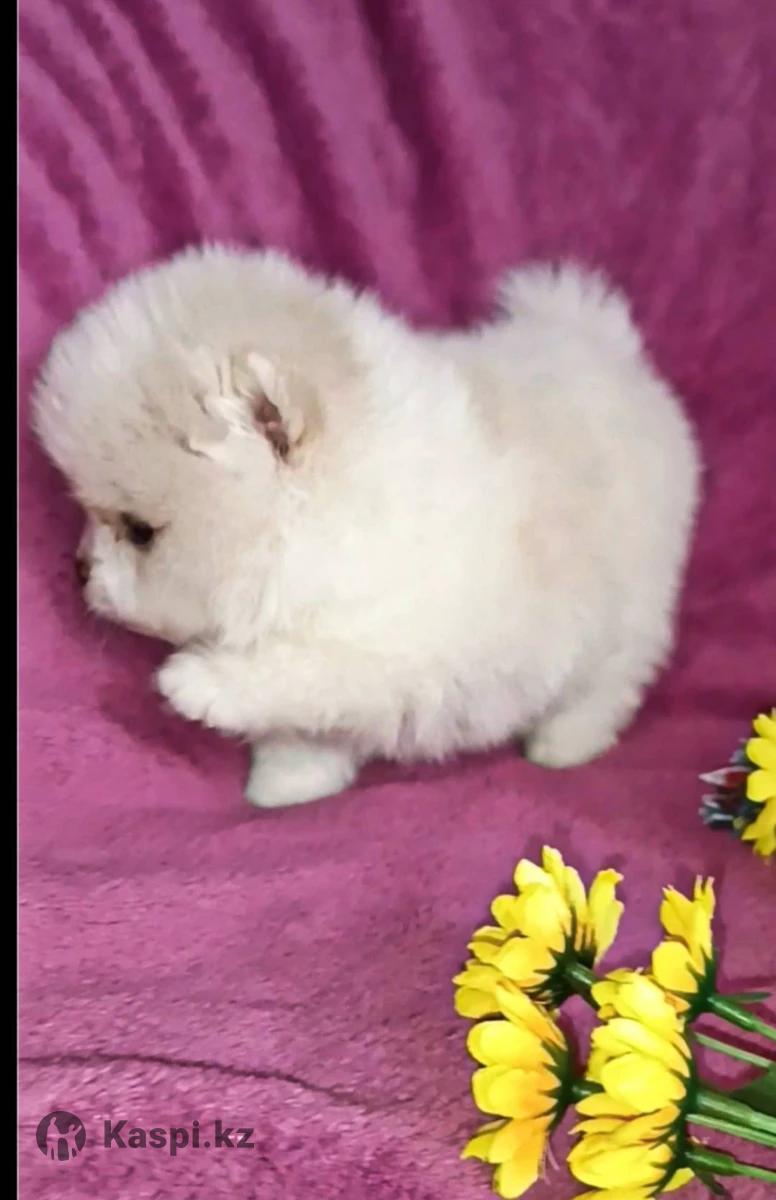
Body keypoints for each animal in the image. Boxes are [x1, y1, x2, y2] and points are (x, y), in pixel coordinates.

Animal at [34, 246, 700, 808]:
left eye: (140, 531)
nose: (78, 567)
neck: (322, 525)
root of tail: (604, 346)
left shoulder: (406, 645)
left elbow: (311, 671)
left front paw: (199, 684)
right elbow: (303, 727)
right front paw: (287, 785)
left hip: (631, 603)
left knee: (610, 680)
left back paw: (565, 743)